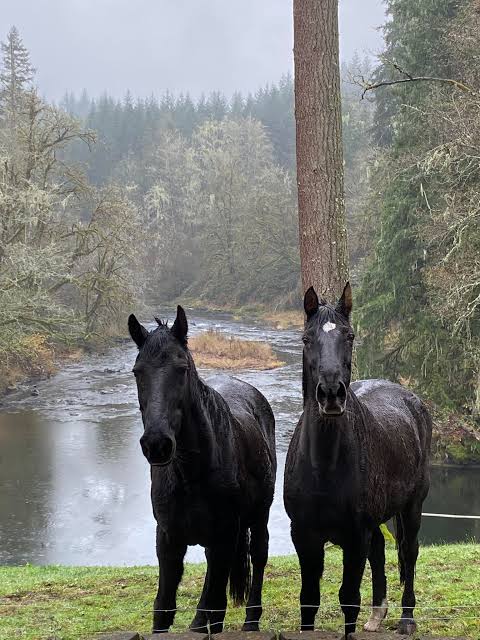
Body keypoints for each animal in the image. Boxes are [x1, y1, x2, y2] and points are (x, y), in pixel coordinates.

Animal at [128, 305, 277, 634]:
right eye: (137, 372)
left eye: (182, 369)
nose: (157, 444)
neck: (190, 473)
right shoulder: (168, 539)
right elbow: (163, 608)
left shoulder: (224, 534)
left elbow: (216, 610)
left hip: (258, 517)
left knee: (258, 556)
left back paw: (251, 622)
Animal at [283, 283, 431, 639]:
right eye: (306, 339)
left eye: (349, 336)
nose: (331, 394)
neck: (323, 466)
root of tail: (412, 400)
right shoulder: (304, 535)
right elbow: (309, 598)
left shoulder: (354, 537)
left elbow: (348, 598)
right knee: (379, 550)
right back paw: (377, 614)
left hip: (412, 507)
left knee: (409, 553)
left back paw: (406, 619)